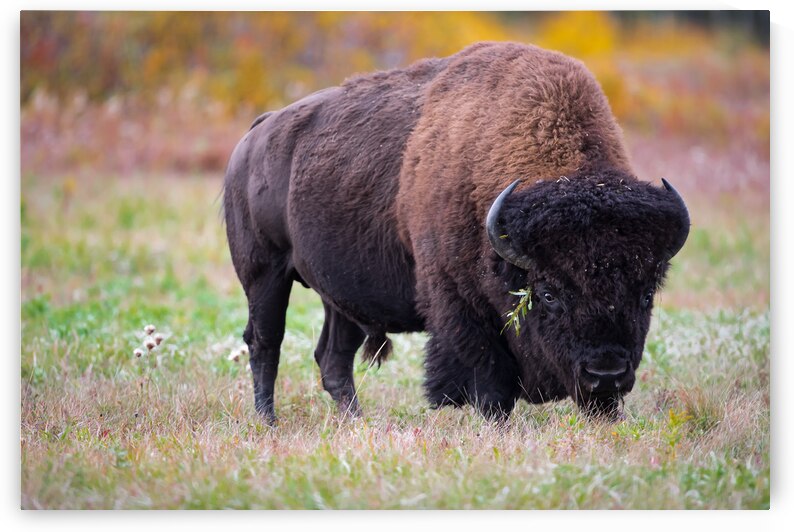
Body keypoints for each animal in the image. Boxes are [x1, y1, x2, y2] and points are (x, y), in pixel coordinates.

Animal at [222, 41, 690, 424]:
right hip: (265, 275)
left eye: (646, 293)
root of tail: (255, 135)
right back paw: (268, 422)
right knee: (265, 343)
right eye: (548, 293)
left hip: (341, 297)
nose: (606, 373)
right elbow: (490, 381)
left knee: (333, 358)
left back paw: (356, 423)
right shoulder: (458, 305)